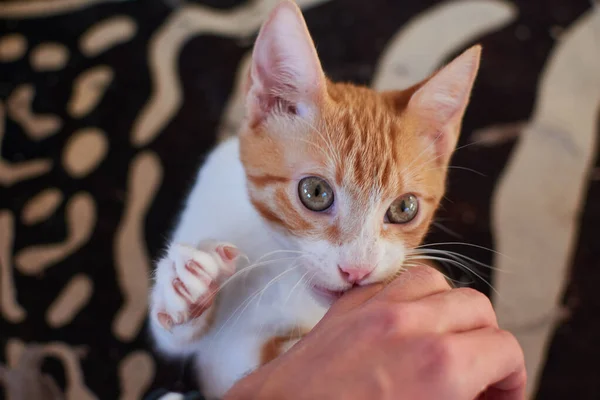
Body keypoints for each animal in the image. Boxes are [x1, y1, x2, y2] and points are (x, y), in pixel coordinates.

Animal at [150, 0, 482, 396]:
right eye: (316, 192)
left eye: (404, 208)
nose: (357, 270)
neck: (279, 264)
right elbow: (173, 339)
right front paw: (183, 289)